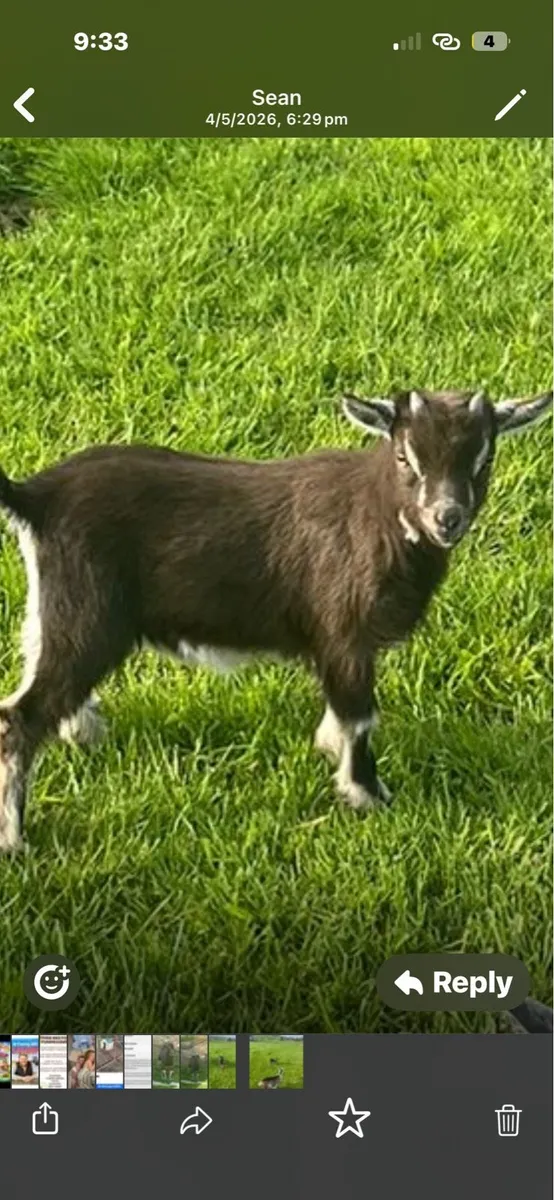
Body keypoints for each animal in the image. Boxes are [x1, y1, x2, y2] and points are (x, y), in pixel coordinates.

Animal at [0, 387, 551, 851]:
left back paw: (85, 731)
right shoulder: (345, 633)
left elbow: (342, 715)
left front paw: (329, 752)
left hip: (54, 614)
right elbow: (359, 717)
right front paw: (368, 796)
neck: (378, 516)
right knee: (20, 718)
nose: (447, 518)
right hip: (86, 618)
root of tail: (36, 496)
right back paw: (16, 841)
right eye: (403, 457)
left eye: (484, 458)